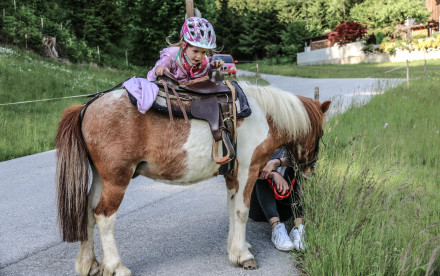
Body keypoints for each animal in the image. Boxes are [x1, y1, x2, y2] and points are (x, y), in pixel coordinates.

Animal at [55, 82, 330, 276]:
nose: (309, 171)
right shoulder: (247, 171)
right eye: (320, 133)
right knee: (104, 217)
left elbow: (232, 208)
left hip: (101, 178)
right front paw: (243, 256)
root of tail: (86, 108)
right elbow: (241, 211)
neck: (262, 116)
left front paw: (236, 248)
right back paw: (116, 267)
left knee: (88, 212)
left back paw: (89, 264)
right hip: (116, 180)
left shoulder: (232, 175)